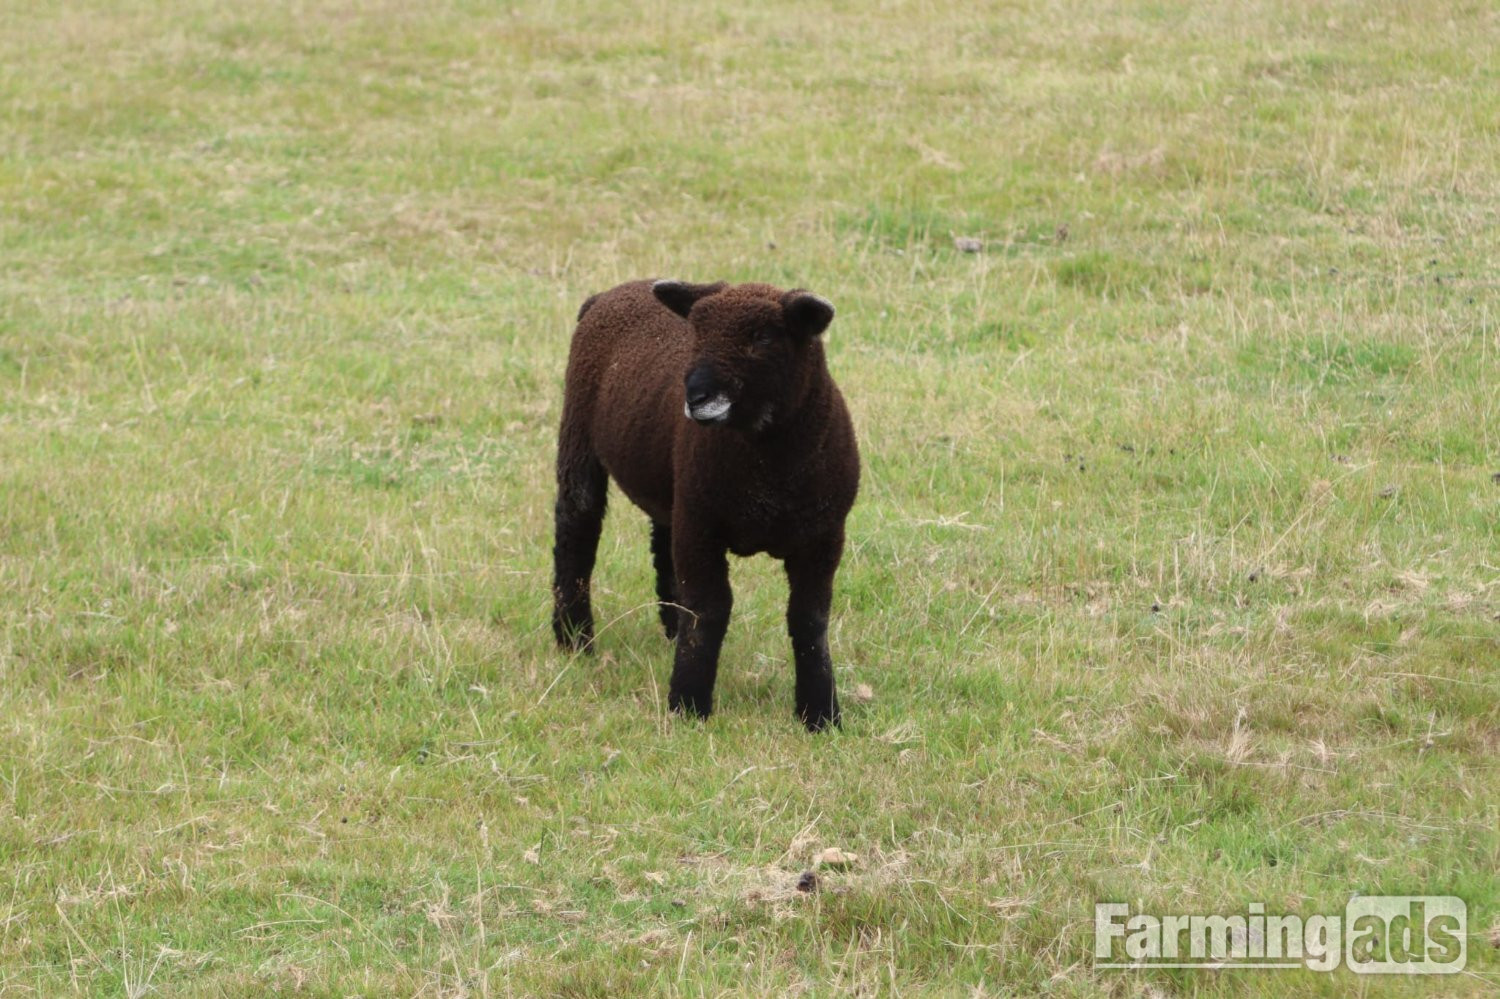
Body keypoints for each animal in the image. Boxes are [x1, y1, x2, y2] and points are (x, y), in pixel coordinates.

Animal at [550, 279, 860, 730]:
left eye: (763, 337)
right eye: (697, 332)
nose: (696, 396)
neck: (770, 469)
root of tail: (608, 294)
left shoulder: (823, 536)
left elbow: (809, 619)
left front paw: (820, 715)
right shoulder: (701, 527)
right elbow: (709, 610)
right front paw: (689, 704)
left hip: (673, 486)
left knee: (662, 546)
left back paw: (668, 632)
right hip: (579, 433)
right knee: (576, 530)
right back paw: (574, 639)